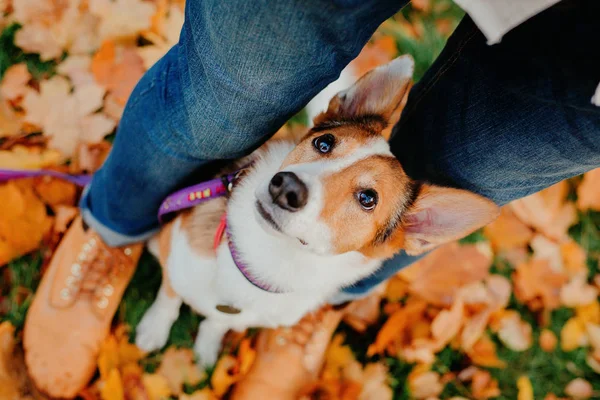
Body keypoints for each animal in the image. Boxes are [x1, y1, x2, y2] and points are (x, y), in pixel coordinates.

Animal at [134, 55, 500, 366]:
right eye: (324, 143)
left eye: (368, 198)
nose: (285, 187)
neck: (268, 260)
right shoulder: (176, 255)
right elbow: (169, 295)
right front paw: (154, 329)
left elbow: (217, 323)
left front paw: (207, 347)